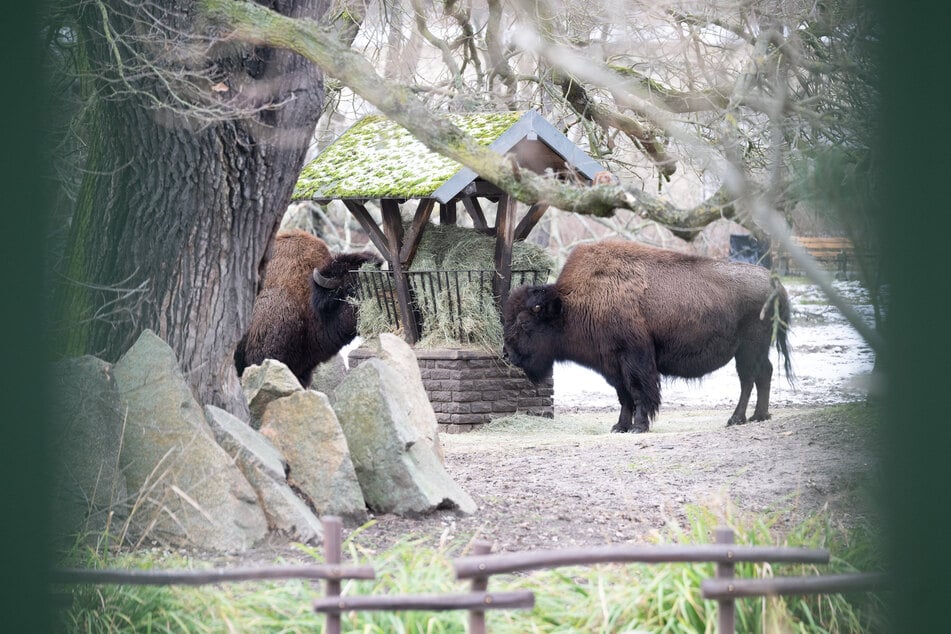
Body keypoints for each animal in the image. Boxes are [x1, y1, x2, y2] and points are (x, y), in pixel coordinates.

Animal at [502, 239, 792, 432]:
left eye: (525, 323)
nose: (508, 354)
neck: (573, 303)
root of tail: (774, 282)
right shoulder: (612, 365)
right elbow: (624, 396)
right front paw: (619, 426)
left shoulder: (634, 358)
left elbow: (640, 392)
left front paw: (638, 426)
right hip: (755, 350)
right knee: (763, 374)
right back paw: (759, 416)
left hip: (748, 349)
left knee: (749, 379)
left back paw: (736, 419)